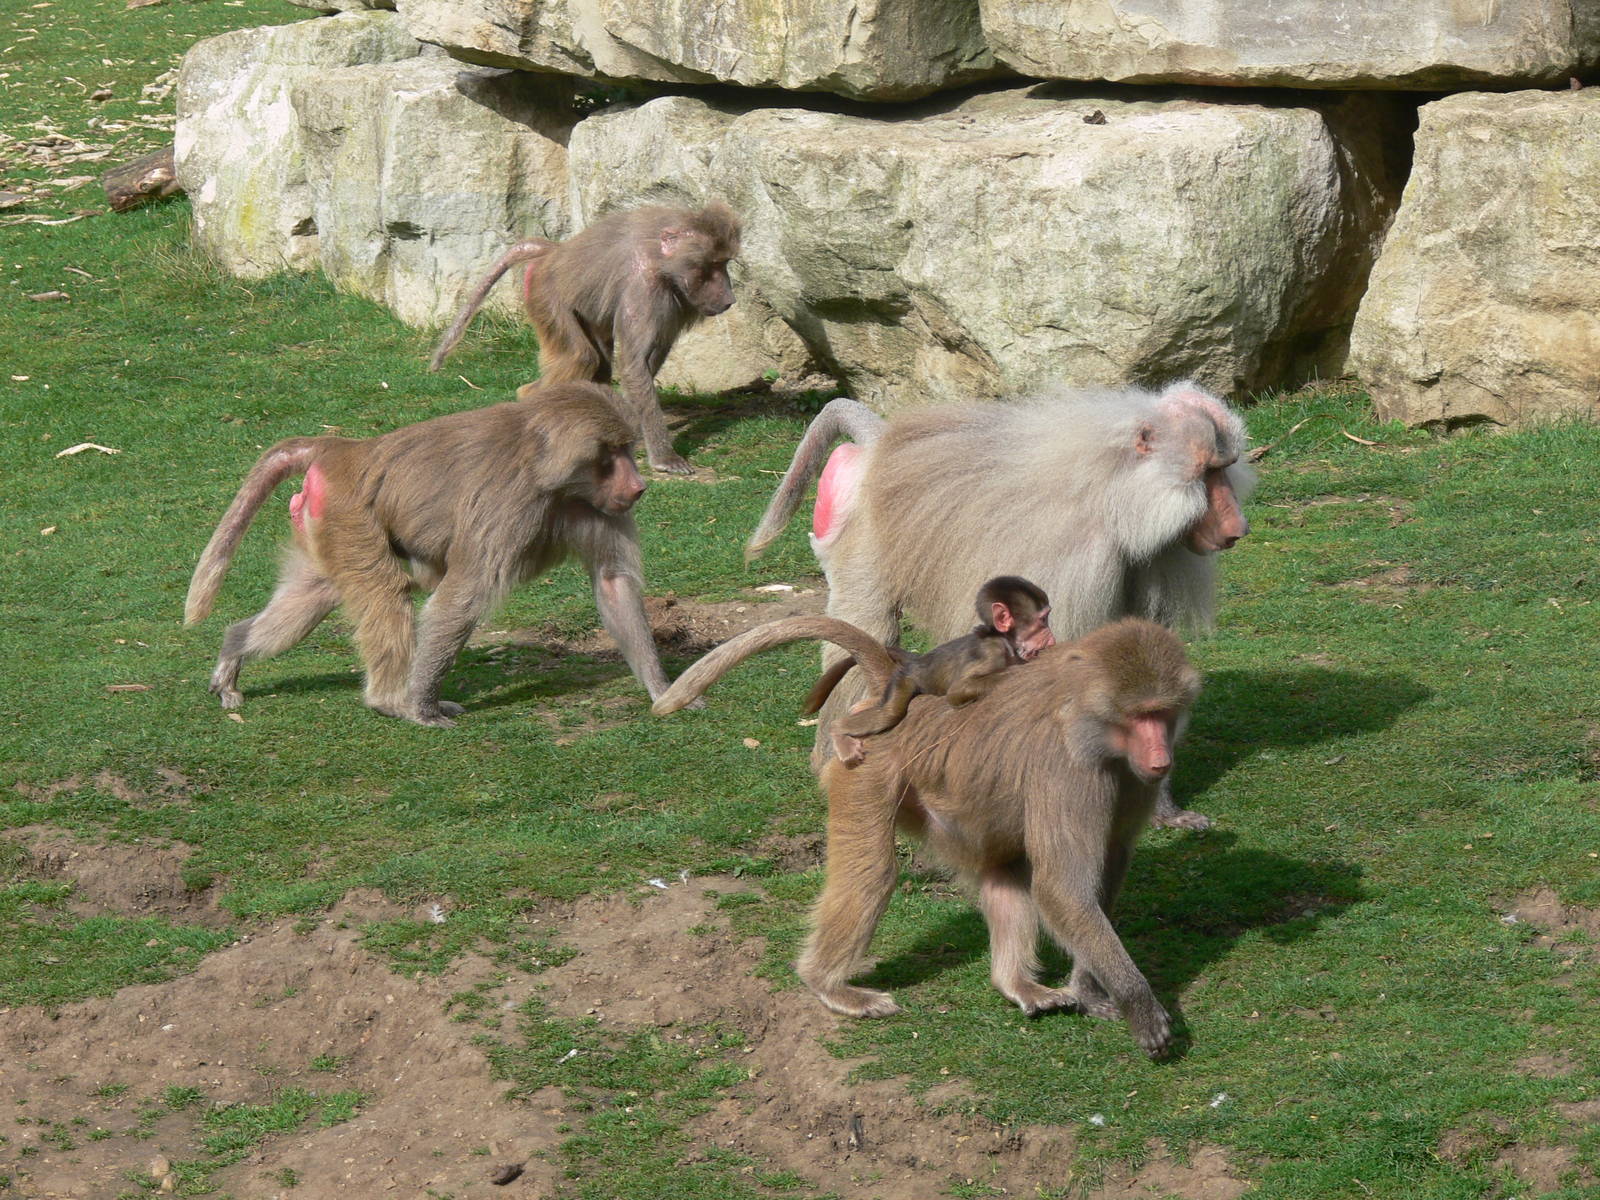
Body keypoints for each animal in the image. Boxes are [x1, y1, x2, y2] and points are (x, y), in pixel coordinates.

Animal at [184, 382, 675, 727]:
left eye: (627, 449)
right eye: (611, 453)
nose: (638, 487)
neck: (549, 473)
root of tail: (344, 449)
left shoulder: (599, 507)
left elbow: (613, 583)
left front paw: (663, 692)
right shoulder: (505, 504)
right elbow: (461, 597)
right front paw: (423, 707)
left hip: (324, 525)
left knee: (312, 599)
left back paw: (233, 652)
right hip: (349, 515)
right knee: (385, 592)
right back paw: (391, 703)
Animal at [427, 203, 742, 477]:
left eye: (724, 263)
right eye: (713, 265)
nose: (729, 299)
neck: (660, 257)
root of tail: (553, 252)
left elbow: (650, 358)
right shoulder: (643, 290)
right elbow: (634, 365)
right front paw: (666, 459)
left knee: (599, 364)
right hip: (547, 296)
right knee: (581, 357)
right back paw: (535, 409)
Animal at [654, 615, 1202, 1060]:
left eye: (1162, 713)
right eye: (1140, 715)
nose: (1161, 760)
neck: (1090, 724)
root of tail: (900, 694)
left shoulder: (1130, 780)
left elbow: (1104, 871)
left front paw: (1090, 989)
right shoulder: (1067, 773)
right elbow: (1063, 890)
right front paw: (1140, 1007)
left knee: (1004, 873)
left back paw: (1015, 985)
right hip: (866, 770)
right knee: (874, 874)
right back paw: (828, 985)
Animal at [804, 575, 1054, 765]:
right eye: (1043, 620)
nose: (1050, 636)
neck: (1004, 640)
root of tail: (918, 660)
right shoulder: (991, 652)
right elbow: (958, 691)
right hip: (903, 680)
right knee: (890, 712)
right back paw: (838, 730)